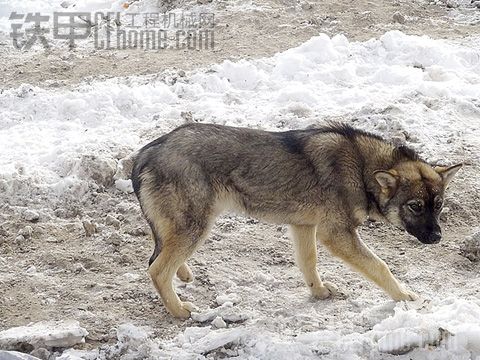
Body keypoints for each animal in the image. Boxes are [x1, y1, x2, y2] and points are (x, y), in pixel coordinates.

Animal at [131, 123, 462, 318]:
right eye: (415, 207)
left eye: (438, 205)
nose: (438, 237)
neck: (361, 168)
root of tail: (146, 153)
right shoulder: (336, 234)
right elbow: (381, 266)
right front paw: (405, 296)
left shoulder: (304, 226)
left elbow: (308, 263)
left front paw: (319, 292)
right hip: (197, 227)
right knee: (157, 269)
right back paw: (179, 310)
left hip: (185, 229)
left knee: (160, 256)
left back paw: (184, 274)